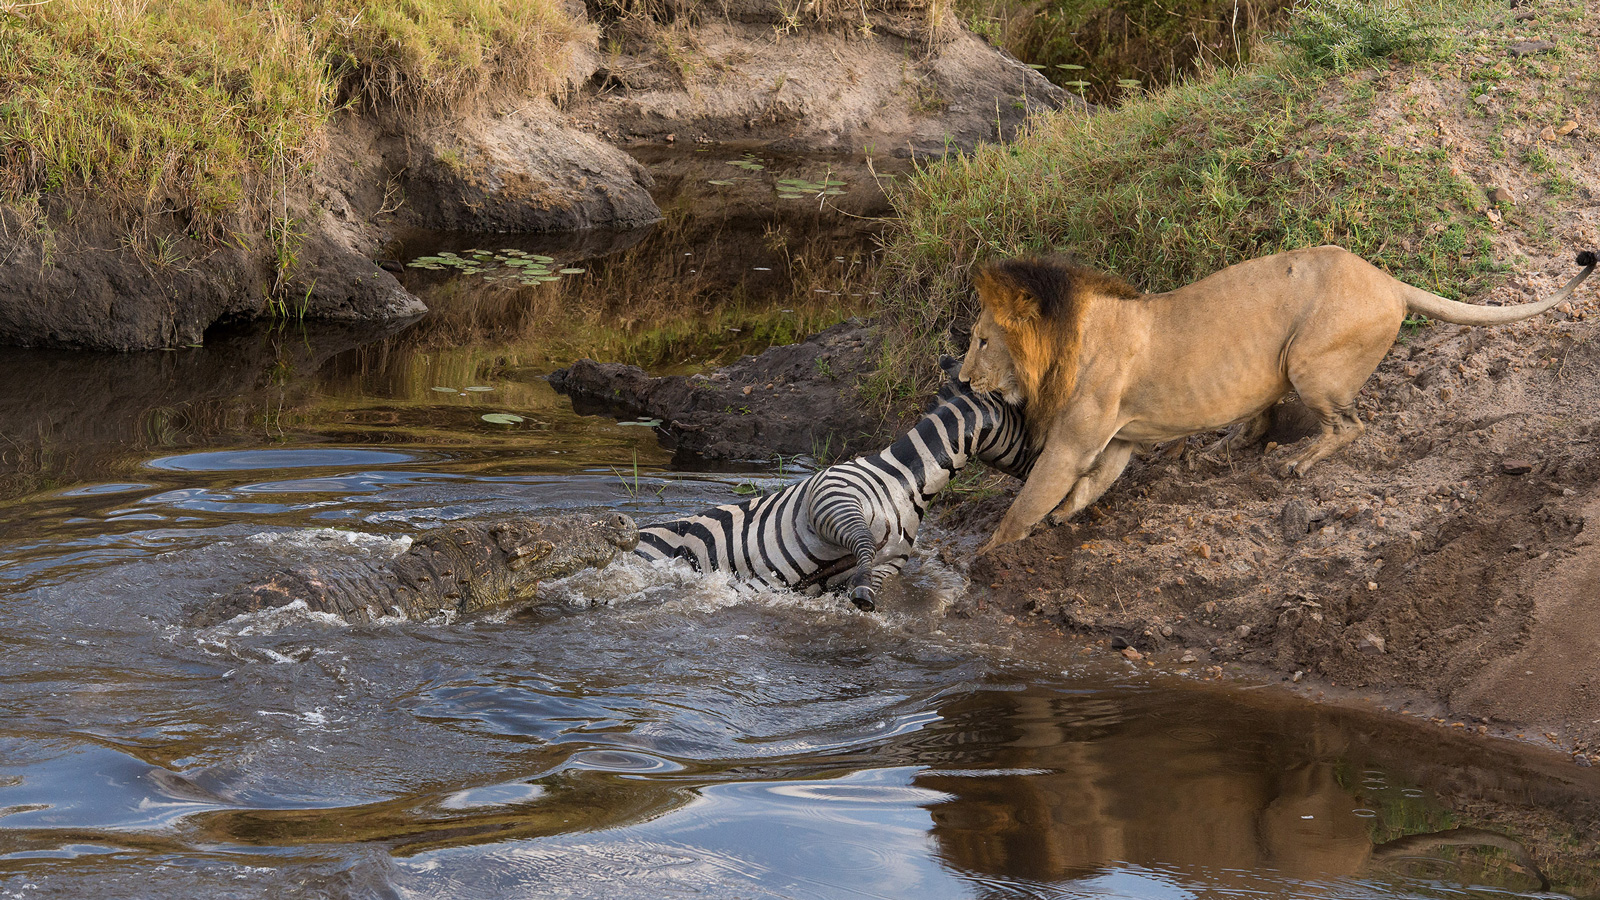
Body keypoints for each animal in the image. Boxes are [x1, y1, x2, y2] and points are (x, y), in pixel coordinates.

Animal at [630, 355, 1030, 608]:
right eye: (1026, 418)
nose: (1037, 464)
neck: (909, 482)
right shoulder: (833, 501)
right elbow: (864, 542)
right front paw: (862, 596)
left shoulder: (887, 563)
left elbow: (865, 571)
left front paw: (861, 595)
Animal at [953, 246, 1593, 554]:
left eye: (982, 341)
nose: (961, 378)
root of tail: (1388, 280)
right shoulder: (1116, 439)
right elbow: (1089, 486)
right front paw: (1065, 516)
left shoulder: (1074, 439)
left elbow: (1029, 501)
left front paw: (987, 554)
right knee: (1269, 420)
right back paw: (1231, 445)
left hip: (1308, 360)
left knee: (1350, 426)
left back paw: (1297, 463)